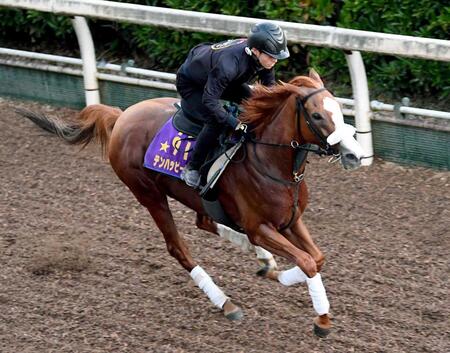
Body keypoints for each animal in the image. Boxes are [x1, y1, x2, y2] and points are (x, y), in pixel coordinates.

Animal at [16, 69, 366, 336]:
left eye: (340, 111)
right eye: (317, 115)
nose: (353, 155)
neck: (269, 161)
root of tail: (121, 115)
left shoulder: (291, 220)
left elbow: (316, 258)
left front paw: (281, 276)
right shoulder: (260, 226)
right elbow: (306, 262)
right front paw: (320, 319)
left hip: (196, 198)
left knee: (206, 221)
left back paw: (264, 261)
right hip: (149, 194)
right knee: (179, 248)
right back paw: (227, 302)